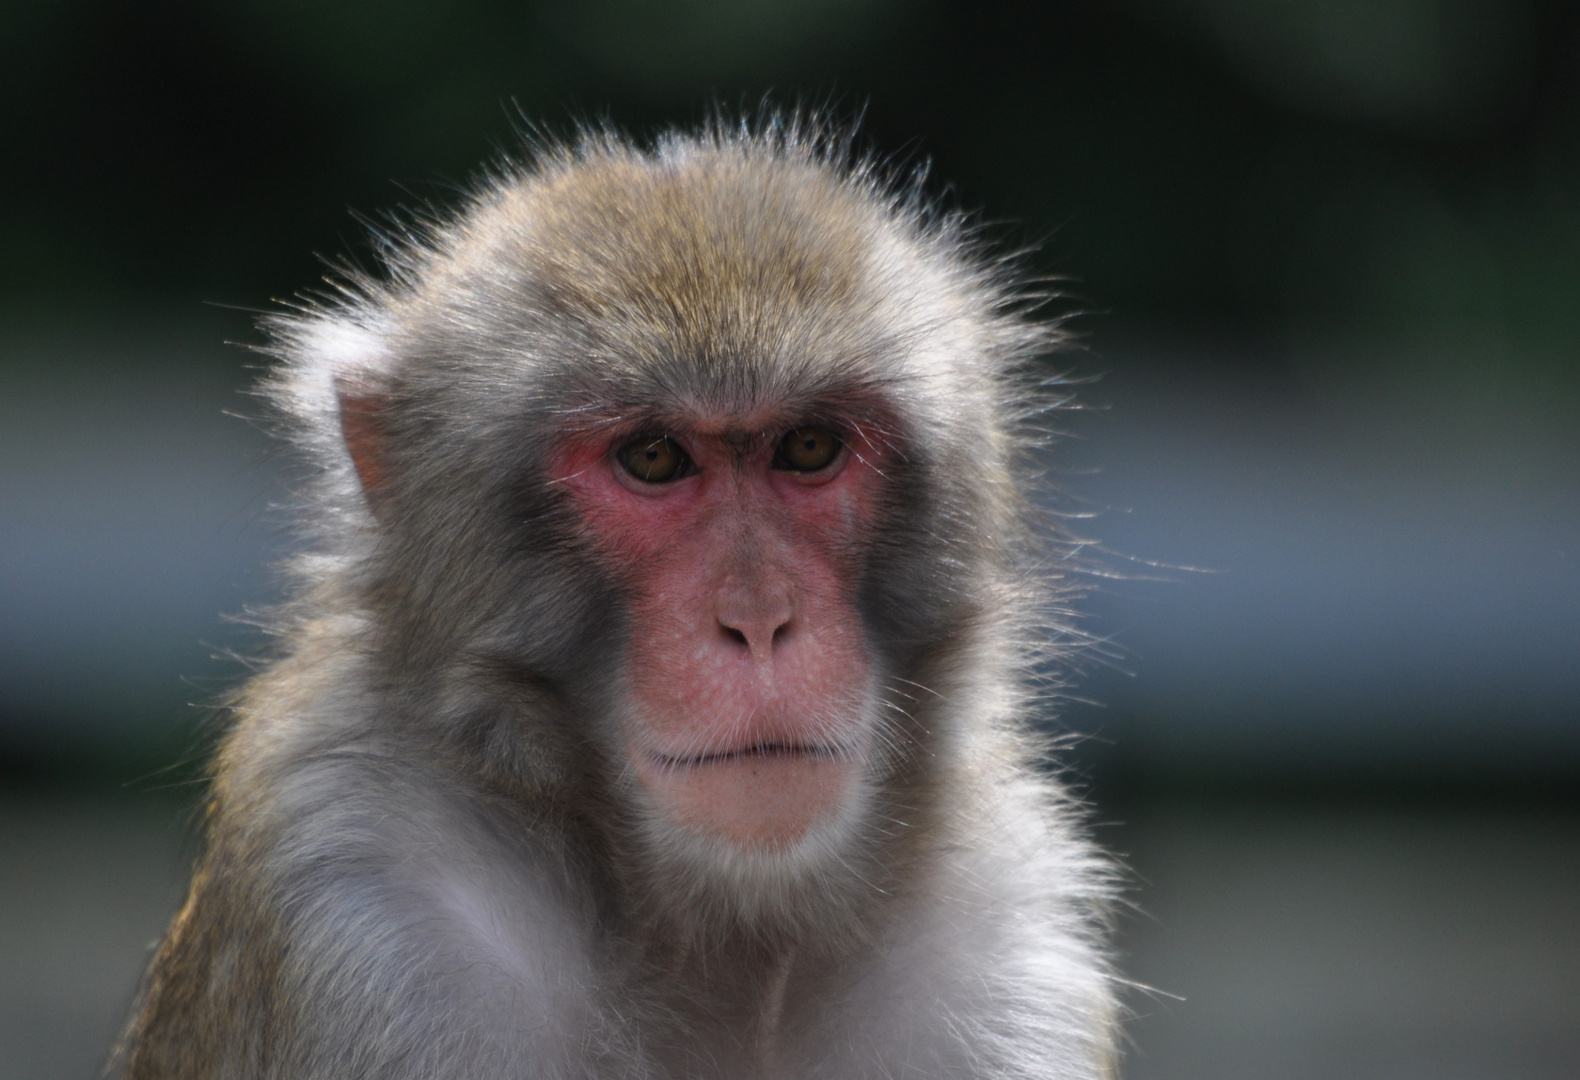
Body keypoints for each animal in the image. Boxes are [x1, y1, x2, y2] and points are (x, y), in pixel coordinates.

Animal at [116, 118, 1118, 1080]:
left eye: (807, 447)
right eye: (653, 458)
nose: (759, 620)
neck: (730, 934)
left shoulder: (1004, 941)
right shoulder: (371, 907)